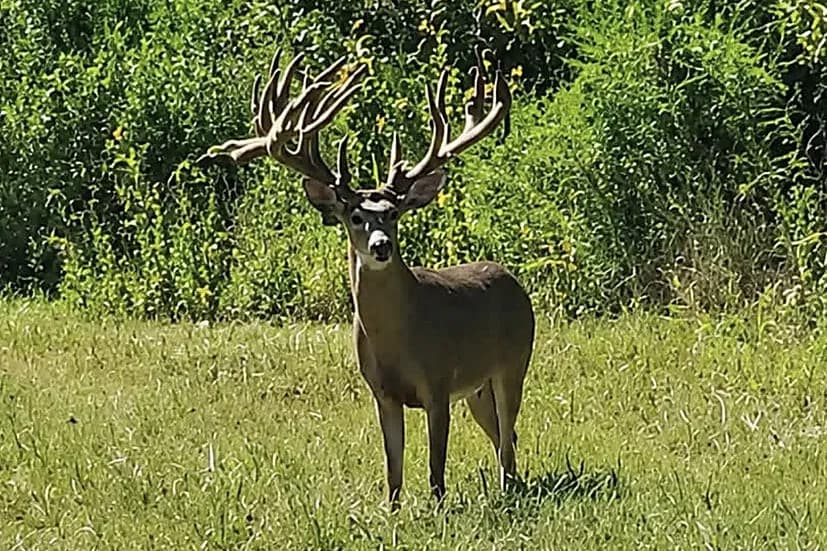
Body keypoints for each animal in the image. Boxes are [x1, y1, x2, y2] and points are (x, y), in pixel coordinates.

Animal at [197, 48, 535, 510]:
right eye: (355, 216)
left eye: (392, 214)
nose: (380, 246)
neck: (399, 340)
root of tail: (512, 280)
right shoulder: (382, 392)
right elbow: (393, 468)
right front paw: (392, 511)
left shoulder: (438, 383)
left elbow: (436, 467)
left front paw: (438, 508)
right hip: (477, 389)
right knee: (506, 434)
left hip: (513, 362)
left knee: (508, 435)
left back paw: (507, 490)